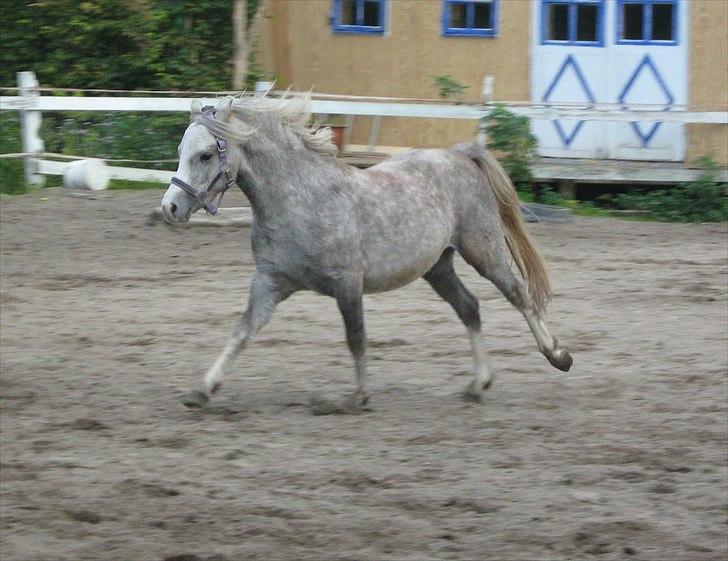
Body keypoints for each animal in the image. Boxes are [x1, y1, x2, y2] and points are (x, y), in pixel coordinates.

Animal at [161, 95, 576, 412]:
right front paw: (202, 390)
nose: (171, 208)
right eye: (181, 151)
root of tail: (460, 155)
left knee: (520, 296)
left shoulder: (347, 283)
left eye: (204, 155)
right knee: (470, 308)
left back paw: (558, 355)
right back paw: (480, 383)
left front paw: (358, 397)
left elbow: (356, 337)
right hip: (437, 266)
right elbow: (242, 332)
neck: (300, 201)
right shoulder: (270, 283)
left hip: (484, 250)